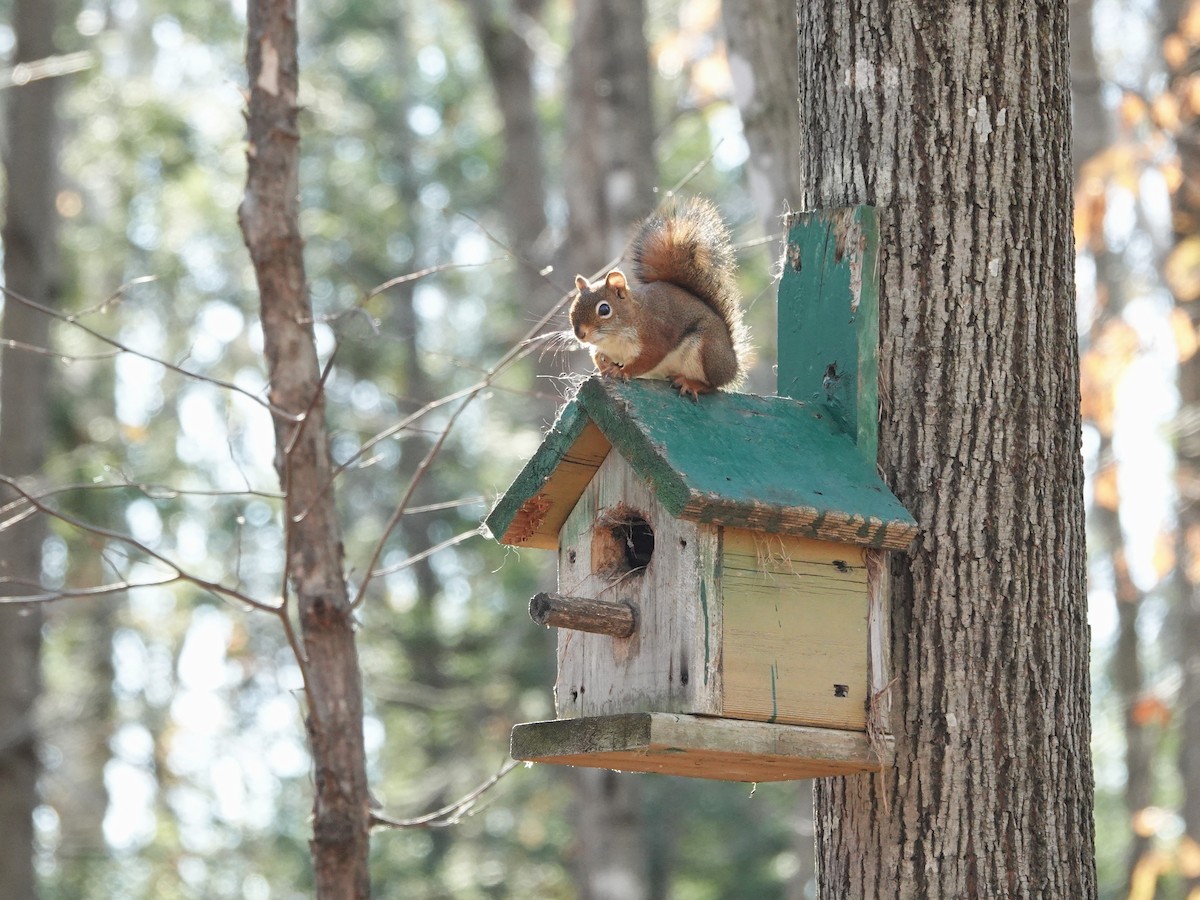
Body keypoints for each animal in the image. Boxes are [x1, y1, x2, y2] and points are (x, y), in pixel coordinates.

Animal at [570, 196, 751, 400]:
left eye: (604, 309)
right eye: (572, 309)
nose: (580, 334)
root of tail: (732, 364)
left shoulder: (655, 336)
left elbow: (647, 359)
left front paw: (622, 372)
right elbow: (596, 355)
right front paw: (604, 367)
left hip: (706, 351)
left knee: (712, 386)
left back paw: (690, 384)